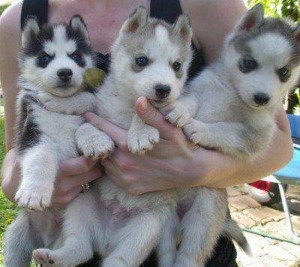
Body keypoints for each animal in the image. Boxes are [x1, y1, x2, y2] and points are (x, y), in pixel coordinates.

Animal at [3, 16, 113, 267]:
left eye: (76, 56)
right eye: (45, 57)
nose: (64, 72)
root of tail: (47, 237)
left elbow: (84, 125)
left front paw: (96, 141)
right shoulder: (32, 133)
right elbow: (41, 158)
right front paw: (34, 192)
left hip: (78, 211)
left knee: (80, 247)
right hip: (16, 235)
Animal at [161, 3, 300, 267]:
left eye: (284, 72)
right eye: (248, 63)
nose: (262, 98)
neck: (232, 92)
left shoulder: (257, 137)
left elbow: (227, 129)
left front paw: (199, 128)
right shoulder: (199, 90)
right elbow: (189, 102)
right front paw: (179, 110)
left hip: (204, 215)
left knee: (191, 254)